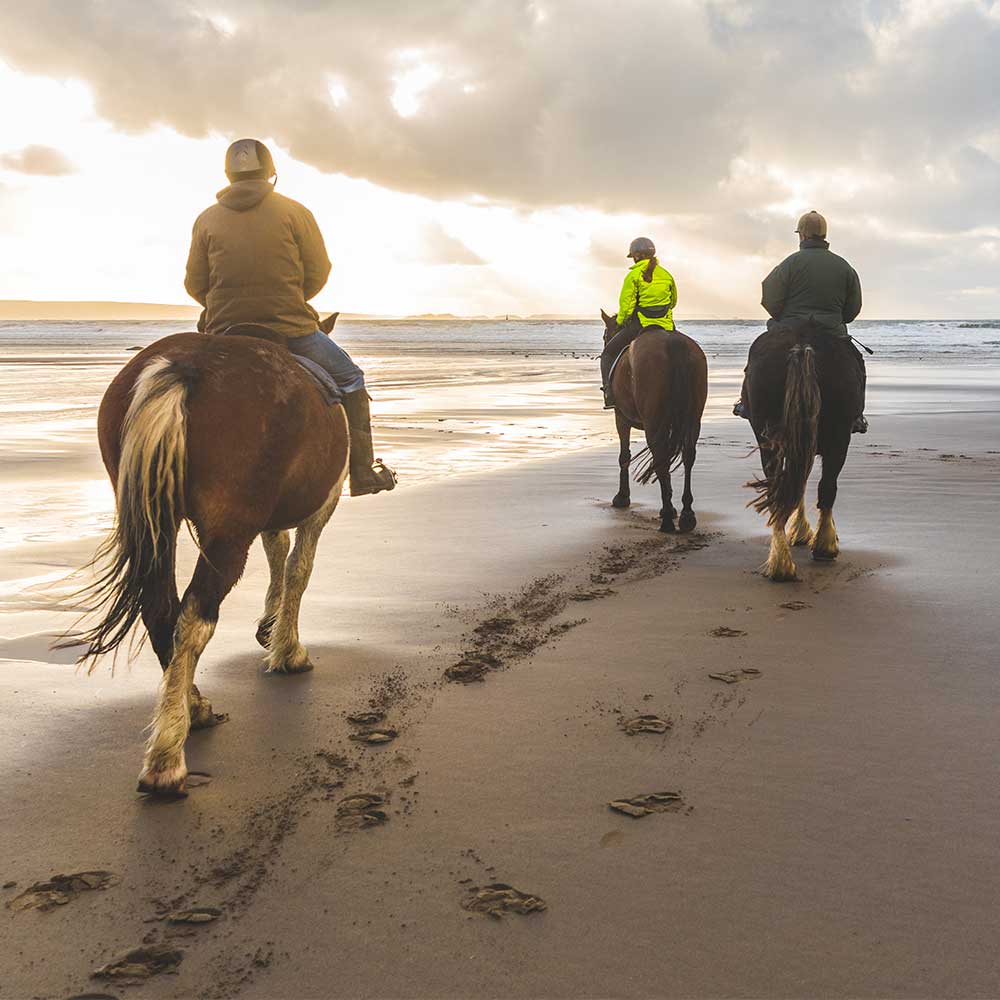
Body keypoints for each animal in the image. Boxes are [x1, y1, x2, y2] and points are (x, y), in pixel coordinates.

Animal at [65, 321, 350, 795]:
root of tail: (184, 364)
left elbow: (277, 551)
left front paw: (269, 626)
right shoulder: (319, 510)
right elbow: (298, 568)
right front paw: (287, 650)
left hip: (158, 521)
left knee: (161, 613)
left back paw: (191, 709)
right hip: (226, 533)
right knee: (195, 619)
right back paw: (166, 757)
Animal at [599, 310, 708, 533]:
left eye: (605, 335)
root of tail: (674, 344)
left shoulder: (620, 418)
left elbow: (624, 456)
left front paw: (622, 497)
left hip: (653, 423)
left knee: (660, 459)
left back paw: (667, 519)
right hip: (693, 420)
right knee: (687, 456)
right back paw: (686, 514)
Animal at [744, 323, 864, 581]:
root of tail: (802, 344)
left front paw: (799, 531)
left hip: (771, 438)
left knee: (778, 488)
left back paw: (781, 560)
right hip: (839, 437)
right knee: (827, 487)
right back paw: (823, 546)